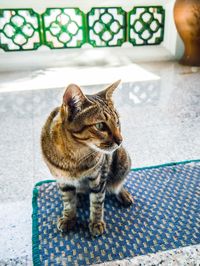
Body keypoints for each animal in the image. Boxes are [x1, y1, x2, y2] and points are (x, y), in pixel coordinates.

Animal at [40, 81, 133, 237]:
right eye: (100, 125)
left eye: (117, 122)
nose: (120, 140)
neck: (74, 156)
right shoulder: (62, 179)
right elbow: (68, 202)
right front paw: (68, 218)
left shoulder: (99, 177)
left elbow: (97, 202)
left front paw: (96, 222)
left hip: (123, 160)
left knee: (118, 184)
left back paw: (123, 193)